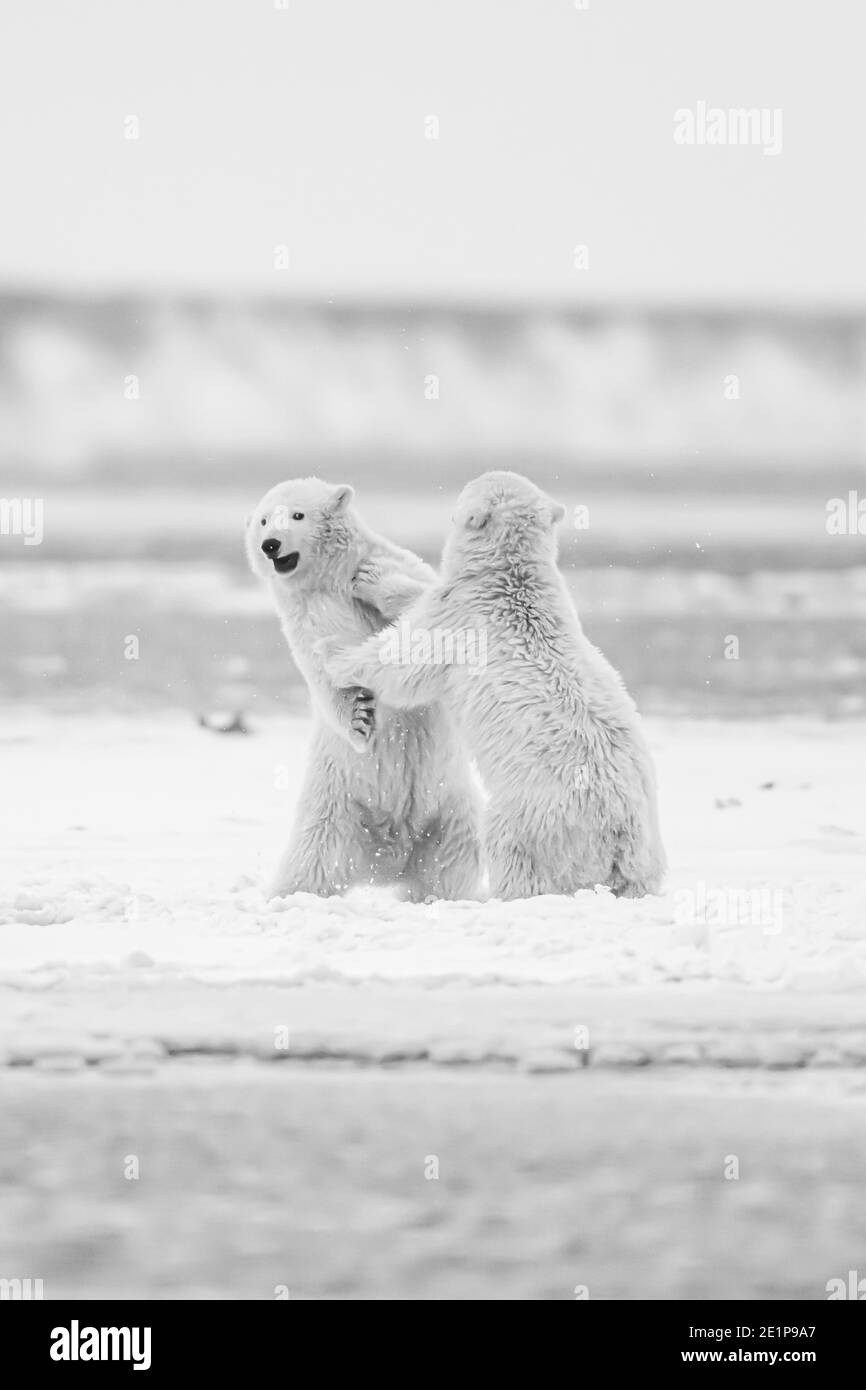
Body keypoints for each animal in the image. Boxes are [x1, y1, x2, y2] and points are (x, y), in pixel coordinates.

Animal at [247, 478, 483, 900]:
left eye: (297, 514)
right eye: (262, 520)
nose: (270, 544)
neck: (329, 581)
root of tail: (389, 857)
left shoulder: (401, 565)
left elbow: (428, 618)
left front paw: (377, 582)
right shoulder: (303, 618)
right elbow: (320, 673)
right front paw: (359, 718)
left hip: (450, 807)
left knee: (454, 859)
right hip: (333, 809)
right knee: (312, 862)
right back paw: (286, 895)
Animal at [325, 469, 664, 900]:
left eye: (464, 491)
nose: (451, 506)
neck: (510, 577)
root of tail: (620, 840)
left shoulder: (461, 621)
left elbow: (406, 662)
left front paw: (337, 653)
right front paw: (373, 576)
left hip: (535, 813)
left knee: (508, 845)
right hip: (647, 842)